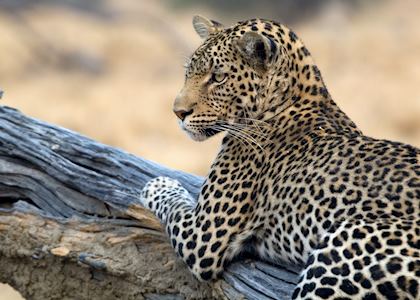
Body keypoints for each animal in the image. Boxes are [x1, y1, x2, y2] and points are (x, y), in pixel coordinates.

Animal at [141, 16, 420, 300]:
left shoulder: (202, 237)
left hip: (342, 244)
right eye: (188, 73)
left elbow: (172, 201)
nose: (178, 113)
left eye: (218, 77)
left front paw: (159, 183)